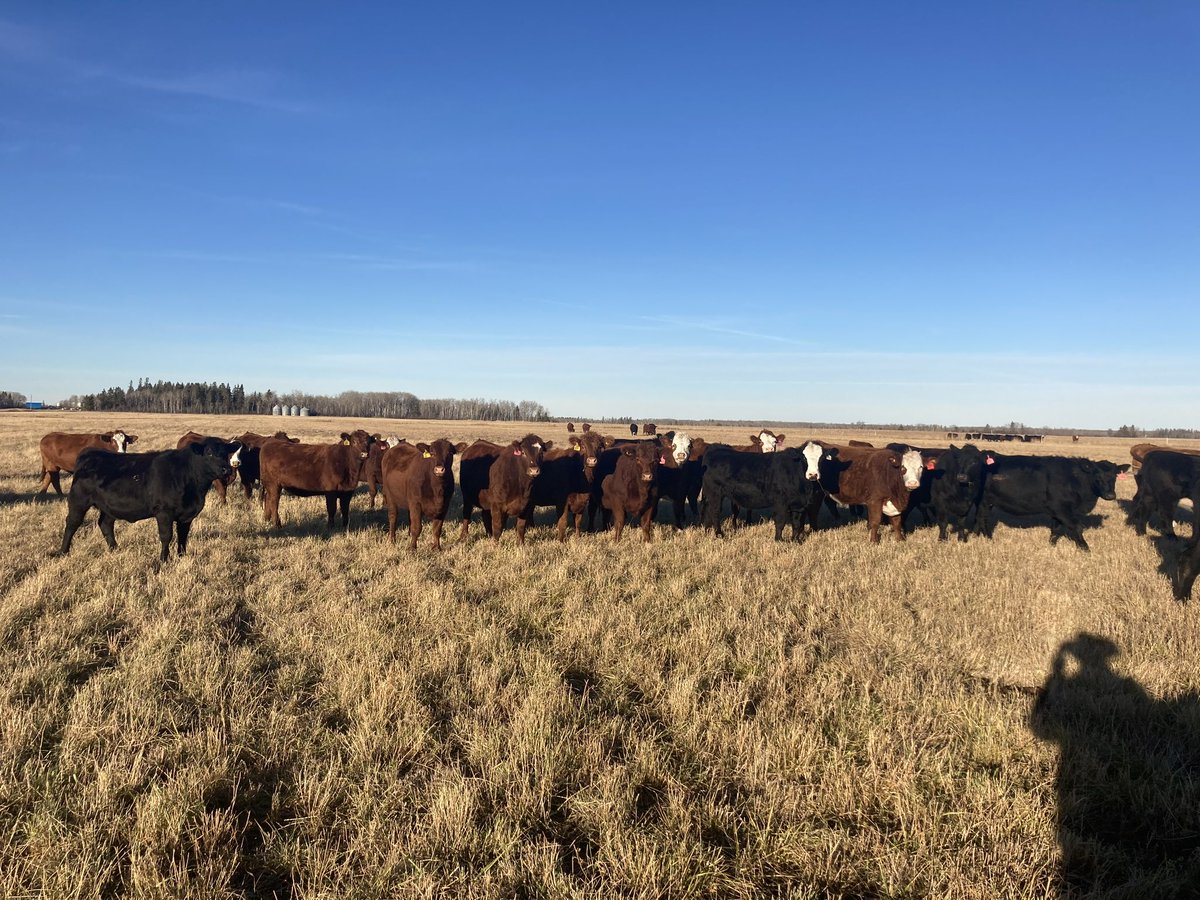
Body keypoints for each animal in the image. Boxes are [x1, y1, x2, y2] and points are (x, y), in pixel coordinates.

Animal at [59, 437, 242, 562]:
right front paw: (164, 559)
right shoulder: (164, 512)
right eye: (209, 452)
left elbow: (183, 536)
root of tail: (89, 453)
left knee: (105, 524)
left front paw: (182, 556)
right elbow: (166, 536)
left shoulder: (187, 515)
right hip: (78, 501)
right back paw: (63, 551)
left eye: (226, 453)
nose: (226, 469)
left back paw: (115, 549)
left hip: (109, 506)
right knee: (72, 523)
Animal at [976, 454, 1129, 550]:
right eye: (1097, 475)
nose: (1110, 495)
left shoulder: (1057, 512)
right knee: (983, 519)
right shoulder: (1061, 509)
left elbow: (1055, 529)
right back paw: (988, 539)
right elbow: (1077, 527)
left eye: (1115, 476)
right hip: (984, 502)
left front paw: (1051, 545)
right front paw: (1085, 548)